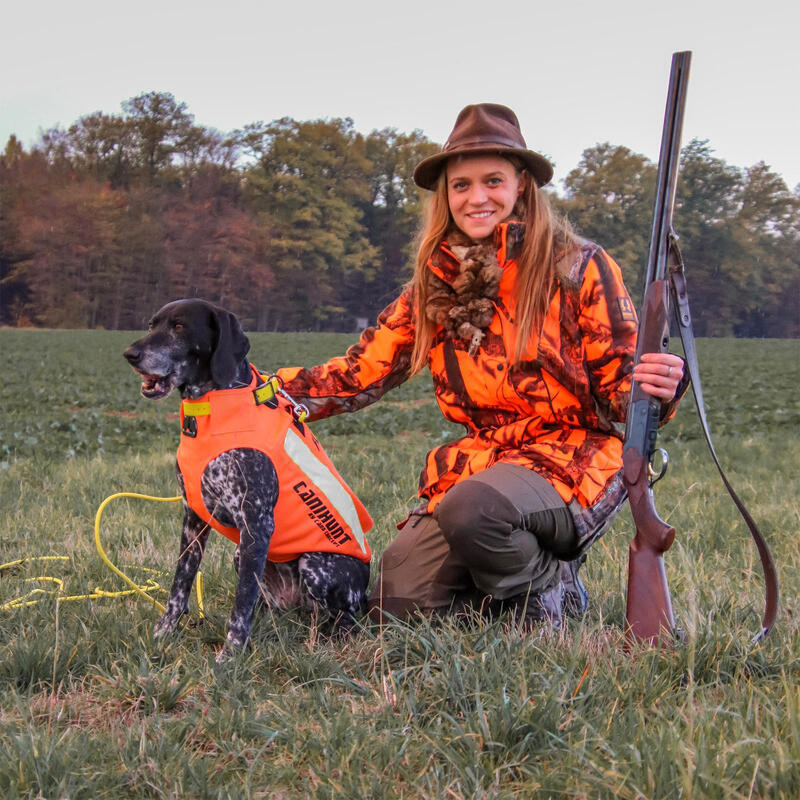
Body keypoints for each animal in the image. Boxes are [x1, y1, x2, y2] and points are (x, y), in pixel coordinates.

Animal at [123, 296, 374, 660]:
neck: (210, 408)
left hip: (316, 566)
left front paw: (229, 657)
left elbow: (241, 605)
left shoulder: (255, 521)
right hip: (243, 556)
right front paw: (161, 636)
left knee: (343, 619)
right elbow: (179, 586)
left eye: (179, 326)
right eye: (151, 325)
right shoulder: (193, 519)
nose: (130, 354)